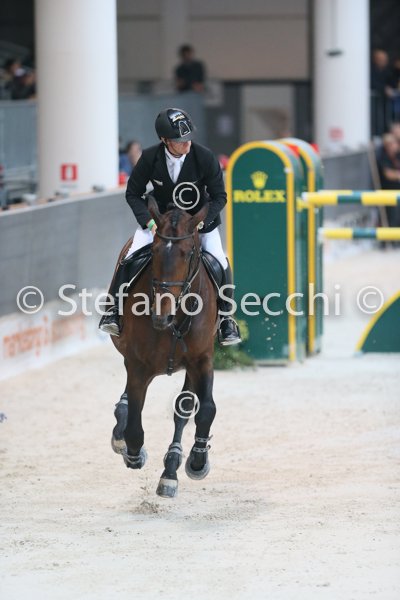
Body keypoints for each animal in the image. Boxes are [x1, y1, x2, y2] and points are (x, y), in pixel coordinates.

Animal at [110, 197, 217, 498]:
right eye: (155, 251)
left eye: (188, 252)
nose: (162, 316)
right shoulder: (138, 365)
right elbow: (135, 421)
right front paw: (134, 453)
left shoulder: (202, 360)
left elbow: (205, 409)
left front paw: (197, 461)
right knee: (128, 403)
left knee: (183, 409)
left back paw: (171, 469)